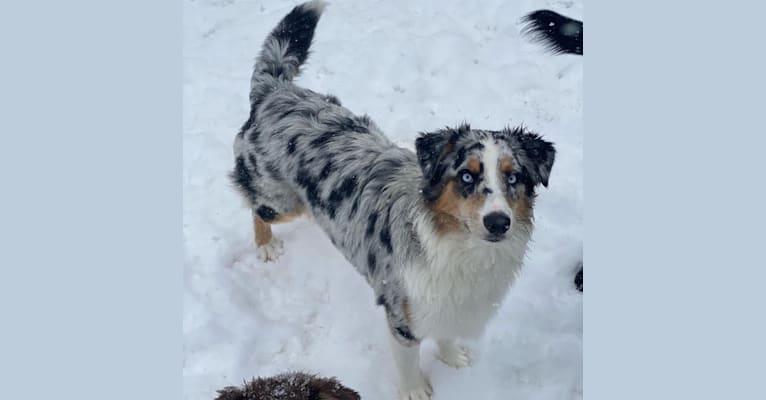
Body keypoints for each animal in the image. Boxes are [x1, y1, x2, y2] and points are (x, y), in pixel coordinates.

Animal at [228, 1, 560, 398]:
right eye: (466, 175)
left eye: (514, 177)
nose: (498, 223)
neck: (461, 249)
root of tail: (275, 90)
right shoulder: (402, 312)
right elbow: (408, 361)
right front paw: (415, 390)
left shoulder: (449, 305)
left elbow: (446, 335)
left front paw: (452, 357)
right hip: (280, 201)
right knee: (255, 208)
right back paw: (266, 246)